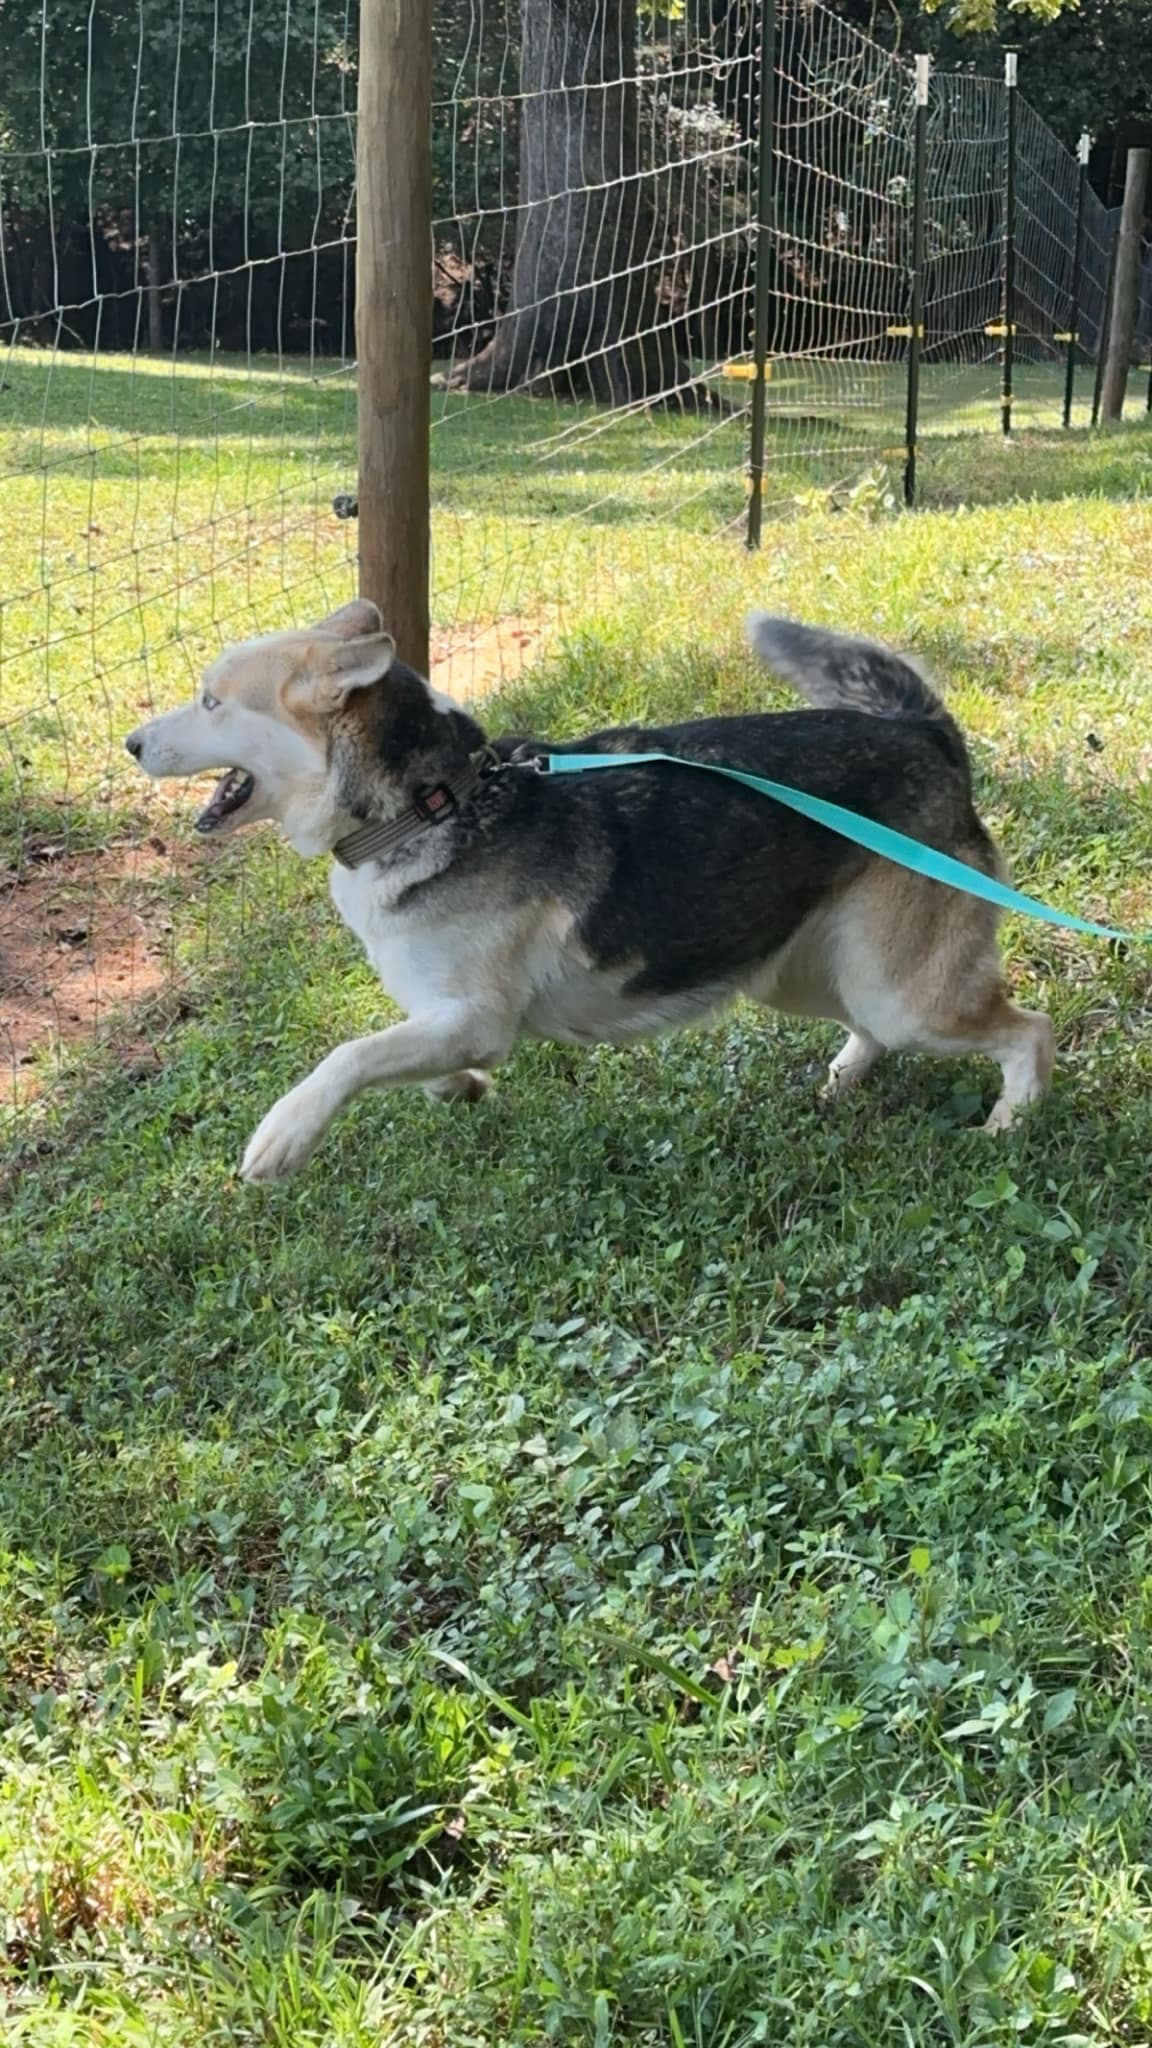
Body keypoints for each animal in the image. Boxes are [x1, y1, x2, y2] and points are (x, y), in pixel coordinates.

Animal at [125, 602, 1049, 1187]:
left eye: (211, 700)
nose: (132, 742)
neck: (437, 802)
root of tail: (923, 731)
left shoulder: (475, 1020)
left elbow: (346, 1055)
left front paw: (285, 1135)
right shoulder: (442, 1018)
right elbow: (403, 1064)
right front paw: (457, 1092)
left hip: (903, 992)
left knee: (1028, 1033)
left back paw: (1011, 1127)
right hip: (805, 973)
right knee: (873, 1030)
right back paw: (844, 1080)